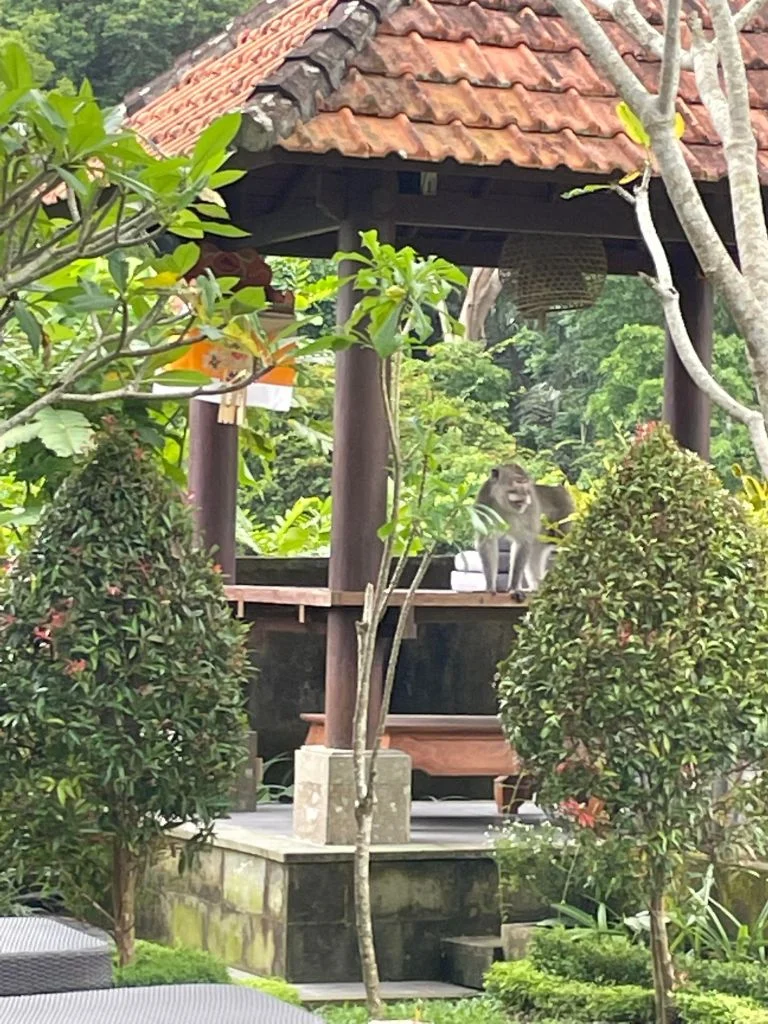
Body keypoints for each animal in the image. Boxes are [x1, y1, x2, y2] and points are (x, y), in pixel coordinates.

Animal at [475, 463, 574, 599]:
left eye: (525, 482)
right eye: (518, 481)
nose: (526, 492)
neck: (504, 505)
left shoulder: (529, 510)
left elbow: (523, 542)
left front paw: (514, 587)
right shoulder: (484, 501)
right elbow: (487, 542)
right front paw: (490, 587)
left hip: (566, 514)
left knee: (564, 543)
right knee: (535, 553)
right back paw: (537, 587)